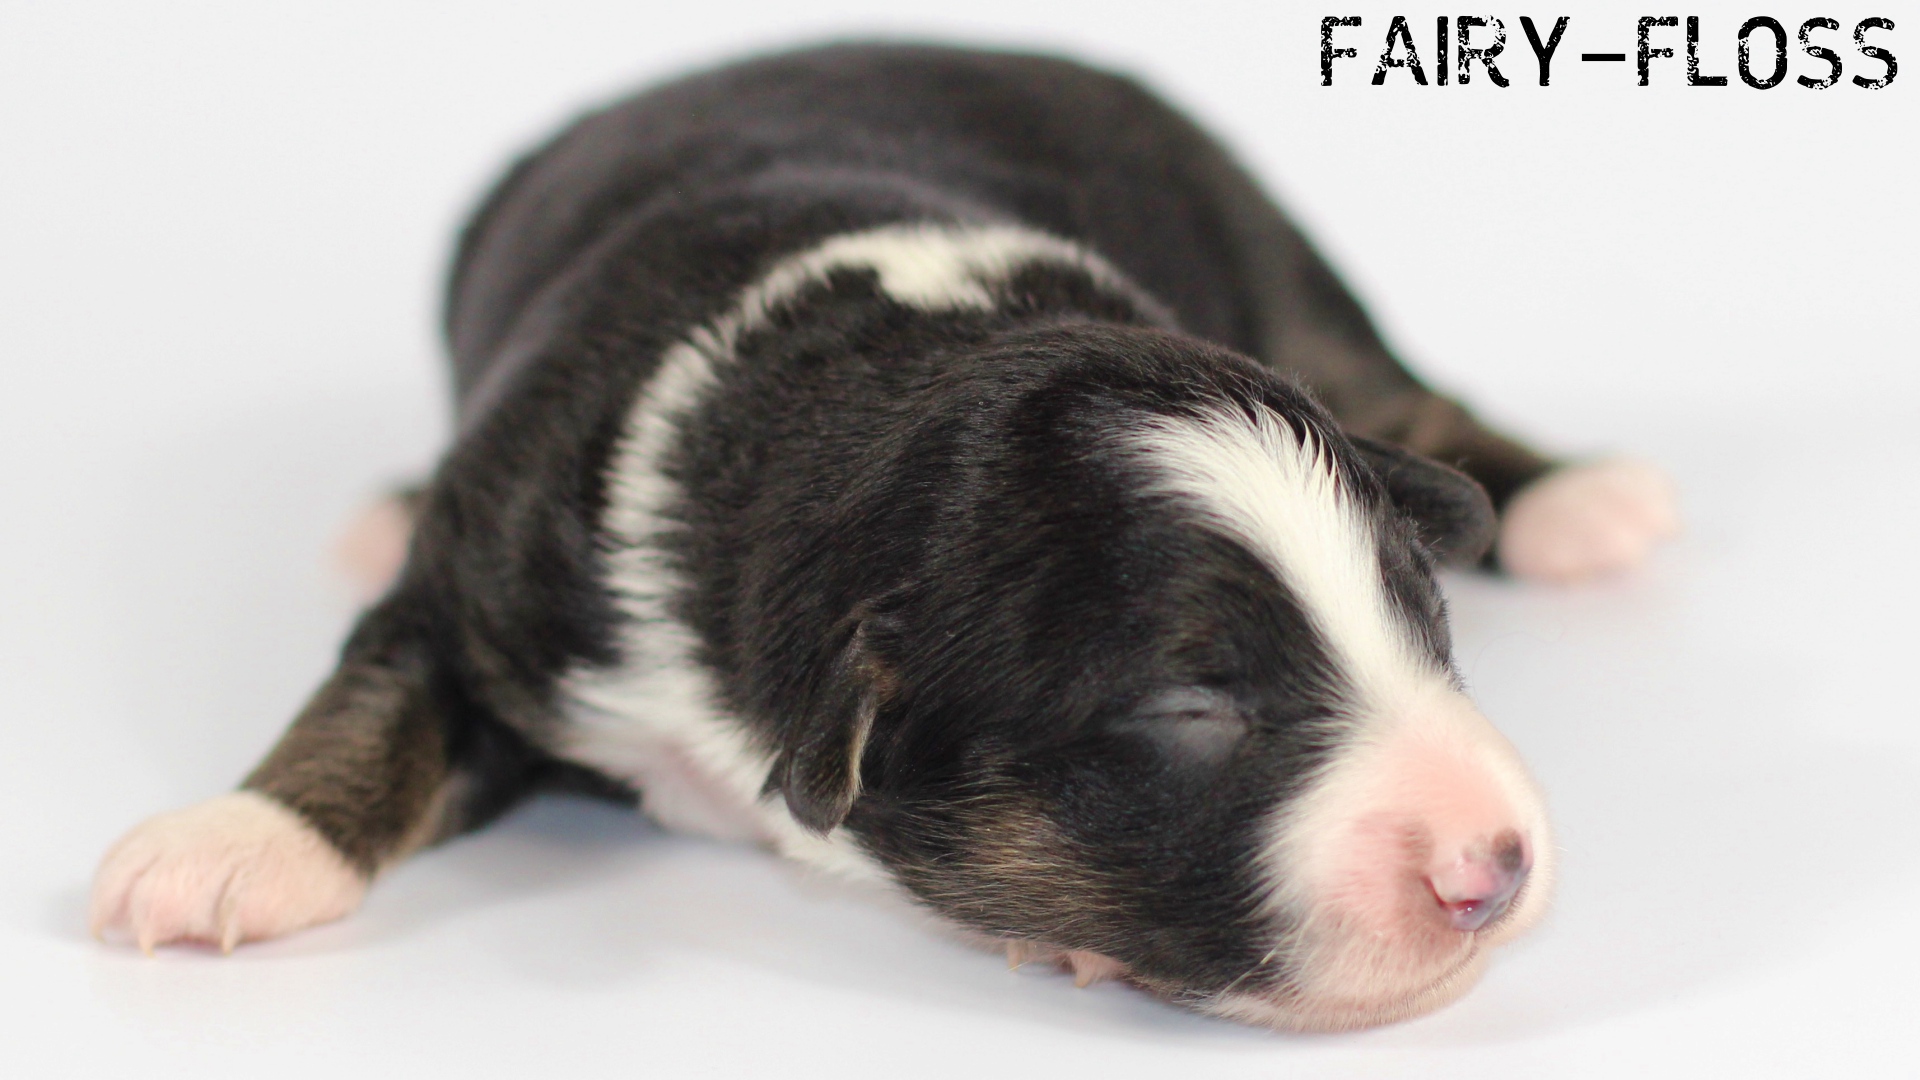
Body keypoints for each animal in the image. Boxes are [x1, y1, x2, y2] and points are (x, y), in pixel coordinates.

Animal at [93, 46, 1681, 1030]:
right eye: (1190, 709)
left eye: (1427, 626)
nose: (1497, 864)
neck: (890, 361)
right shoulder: (498, 561)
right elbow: (380, 693)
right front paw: (231, 846)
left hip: (1273, 250)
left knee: (1399, 386)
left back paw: (1575, 500)